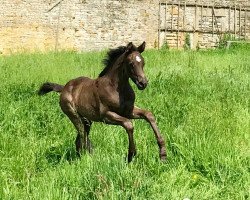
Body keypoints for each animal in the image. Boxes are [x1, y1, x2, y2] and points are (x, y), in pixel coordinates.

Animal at [38, 41, 166, 162]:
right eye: (131, 64)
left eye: (143, 63)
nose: (143, 83)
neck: (116, 88)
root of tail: (64, 87)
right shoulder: (106, 116)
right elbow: (129, 124)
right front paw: (131, 155)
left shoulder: (128, 111)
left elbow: (149, 115)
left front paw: (163, 154)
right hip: (73, 115)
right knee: (82, 136)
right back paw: (86, 157)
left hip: (87, 120)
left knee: (80, 139)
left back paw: (85, 156)